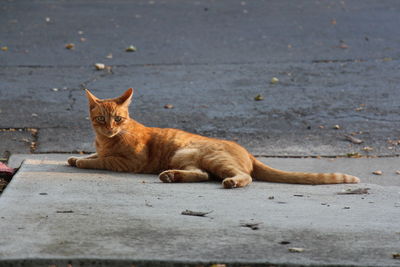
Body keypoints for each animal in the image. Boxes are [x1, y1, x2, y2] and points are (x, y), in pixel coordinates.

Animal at [67, 89, 360, 188]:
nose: (110, 128)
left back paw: (232, 182)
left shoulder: (129, 162)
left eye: (118, 119)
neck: (105, 140)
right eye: (101, 119)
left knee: (243, 177)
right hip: (184, 156)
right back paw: (171, 176)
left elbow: (101, 160)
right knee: (202, 175)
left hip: (204, 156)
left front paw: (82, 161)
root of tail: (248, 151)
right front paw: (74, 157)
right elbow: (95, 154)